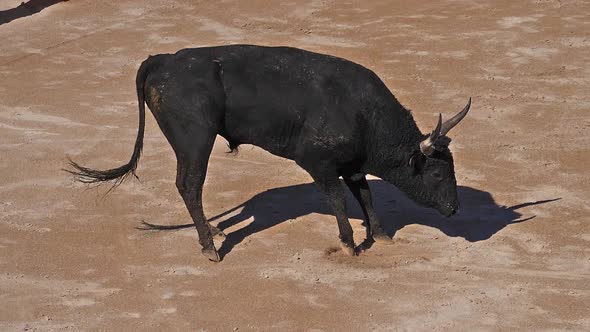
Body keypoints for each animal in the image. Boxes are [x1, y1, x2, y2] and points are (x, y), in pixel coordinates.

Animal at [69, 44, 474, 262]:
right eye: (438, 173)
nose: (455, 209)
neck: (365, 115)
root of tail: (163, 59)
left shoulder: (352, 165)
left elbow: (365, 194)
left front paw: (381, 234)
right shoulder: (319, 164)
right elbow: (339, 200)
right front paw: (348, 244)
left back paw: (213, 231)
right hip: (195, 141)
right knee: (189, 184)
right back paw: (210, 247)